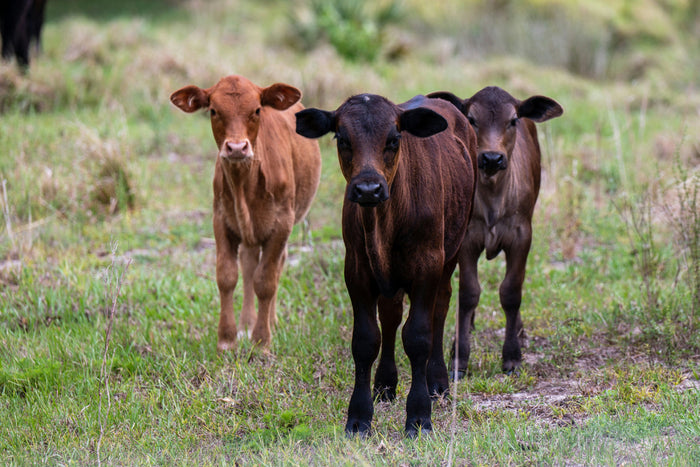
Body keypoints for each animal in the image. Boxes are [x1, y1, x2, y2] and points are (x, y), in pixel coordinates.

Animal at [170, 75, 321, 351]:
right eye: (213, 111)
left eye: (257, 110)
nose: (237, 147)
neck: (244, 184)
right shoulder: (221, 220)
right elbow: (227, 275)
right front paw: (227, 338)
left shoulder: (282, 224)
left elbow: (266, 281)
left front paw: (262, 341)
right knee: (249, 265)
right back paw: (246, 324)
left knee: (274, 266)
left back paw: (270, 323)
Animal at [296, 94, 476, 437]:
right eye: (342, 138)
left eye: (394, 139)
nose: (368, 188)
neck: (383, 223)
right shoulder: (356, 271)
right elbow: (367, 339)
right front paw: (359, 416)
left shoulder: (427, 266)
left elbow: (418, 336)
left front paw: (419, 415)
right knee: (391, 316)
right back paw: (385, 384)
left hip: (452, 250)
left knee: (441, 307)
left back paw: (438, 381)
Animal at [427, 86, 563, 375]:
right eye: (471, 119)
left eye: (513, 120)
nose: (491, 157)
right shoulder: (467, 238)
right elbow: (469, 293)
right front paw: (459, 356)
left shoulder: (521, 236)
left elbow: (511, 291)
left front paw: (512, 356)